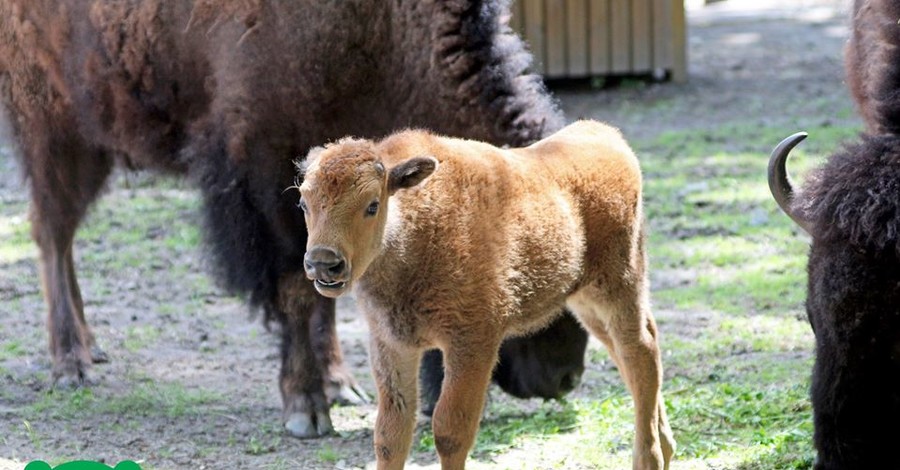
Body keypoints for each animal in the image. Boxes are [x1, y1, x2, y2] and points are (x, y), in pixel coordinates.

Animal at [0, 0, 592, 438]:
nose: (565, 377)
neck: (378, 35)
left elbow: (326, 289)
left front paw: (339, 386)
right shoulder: (268, 183)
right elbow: (296, 290)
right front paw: (306, 409)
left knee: (63, 235)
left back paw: (90, 348)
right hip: (53, 126)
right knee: (51, 231)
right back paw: (71, 363)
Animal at [298, 121, 676, 470]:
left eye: (373, 205)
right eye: (303, 202)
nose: (323, 262)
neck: (413, 225)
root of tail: (608, 137)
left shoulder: (471, 343)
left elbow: (450, 431)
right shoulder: (392, 344)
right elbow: (391, 434)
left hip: (618, 285)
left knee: (640, 351)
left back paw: (649, 458)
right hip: (586, 300)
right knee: (631, 350)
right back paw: (667, 446)